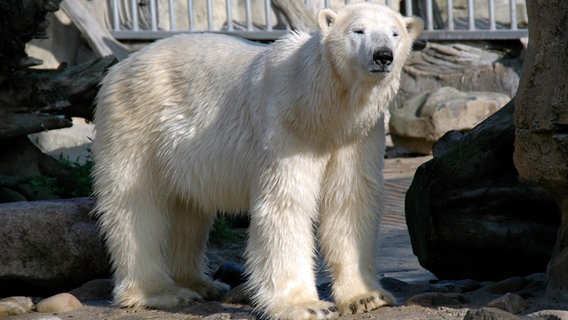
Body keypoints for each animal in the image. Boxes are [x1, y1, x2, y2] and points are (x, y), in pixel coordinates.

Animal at [92, 3, 422, 320]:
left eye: (395, 33)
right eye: (358, 30)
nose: (383, 56)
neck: (321, 112)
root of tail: (120, 66)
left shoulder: (355, 139)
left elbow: (350, 202)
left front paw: (365, 298)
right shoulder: (286, 129)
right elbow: (286, 204)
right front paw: (306, 306)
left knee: (187, 210)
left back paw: (201, 283)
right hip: (137, 125)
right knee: (137, 208)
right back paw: (162, 291)